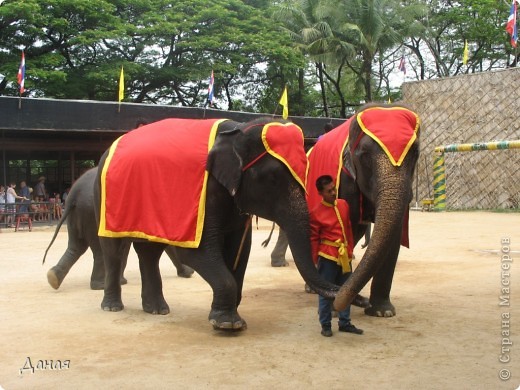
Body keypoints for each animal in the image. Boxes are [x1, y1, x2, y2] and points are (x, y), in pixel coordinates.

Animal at [43, 166, 195, 290]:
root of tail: (75, 193)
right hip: (93, 213)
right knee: (98, 249)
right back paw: (100, 285)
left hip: (78, 214)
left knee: (76, 247)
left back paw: (53, 278)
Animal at [92, 117, 338, 330]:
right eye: (272, 179)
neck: (239, 129)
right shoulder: (204, 195)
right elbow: (197, 252)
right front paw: (227, 324)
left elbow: (240, 249)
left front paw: (232, 317)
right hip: (104, 197)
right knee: (114, 250)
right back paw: (113, 307)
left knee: (149, 252)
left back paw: (157, 310)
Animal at [306, 103, 420, 316]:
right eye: (365, 156)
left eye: (415, 153)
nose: (363, 301)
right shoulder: (346, 182)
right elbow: (346, 230)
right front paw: (337, 309)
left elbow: (393, 235)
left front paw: (383, 312)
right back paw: (311, 288)